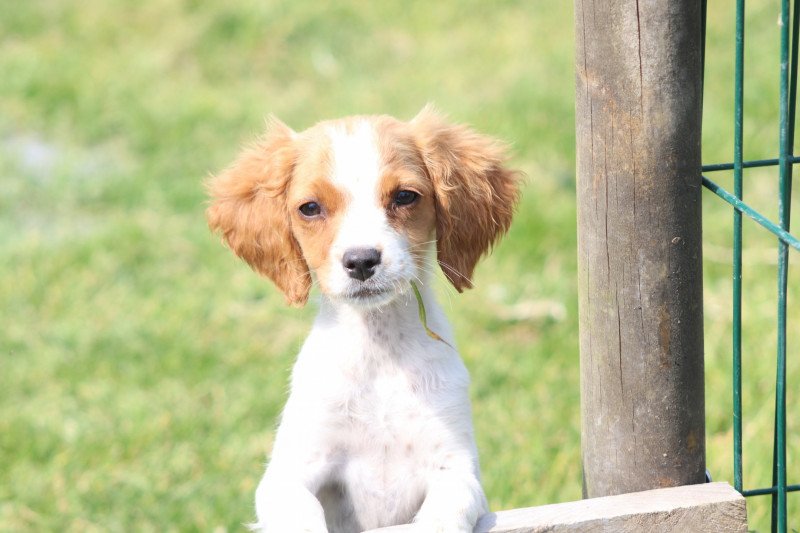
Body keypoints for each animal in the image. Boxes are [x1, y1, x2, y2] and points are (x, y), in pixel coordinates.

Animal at [206, 106, 520, 528]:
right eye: (310, 207)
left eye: (405, 196)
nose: (361, 261)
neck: (380, 354)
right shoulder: (287, 473)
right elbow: (300, 513)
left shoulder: (456, 468)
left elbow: (443, 511)